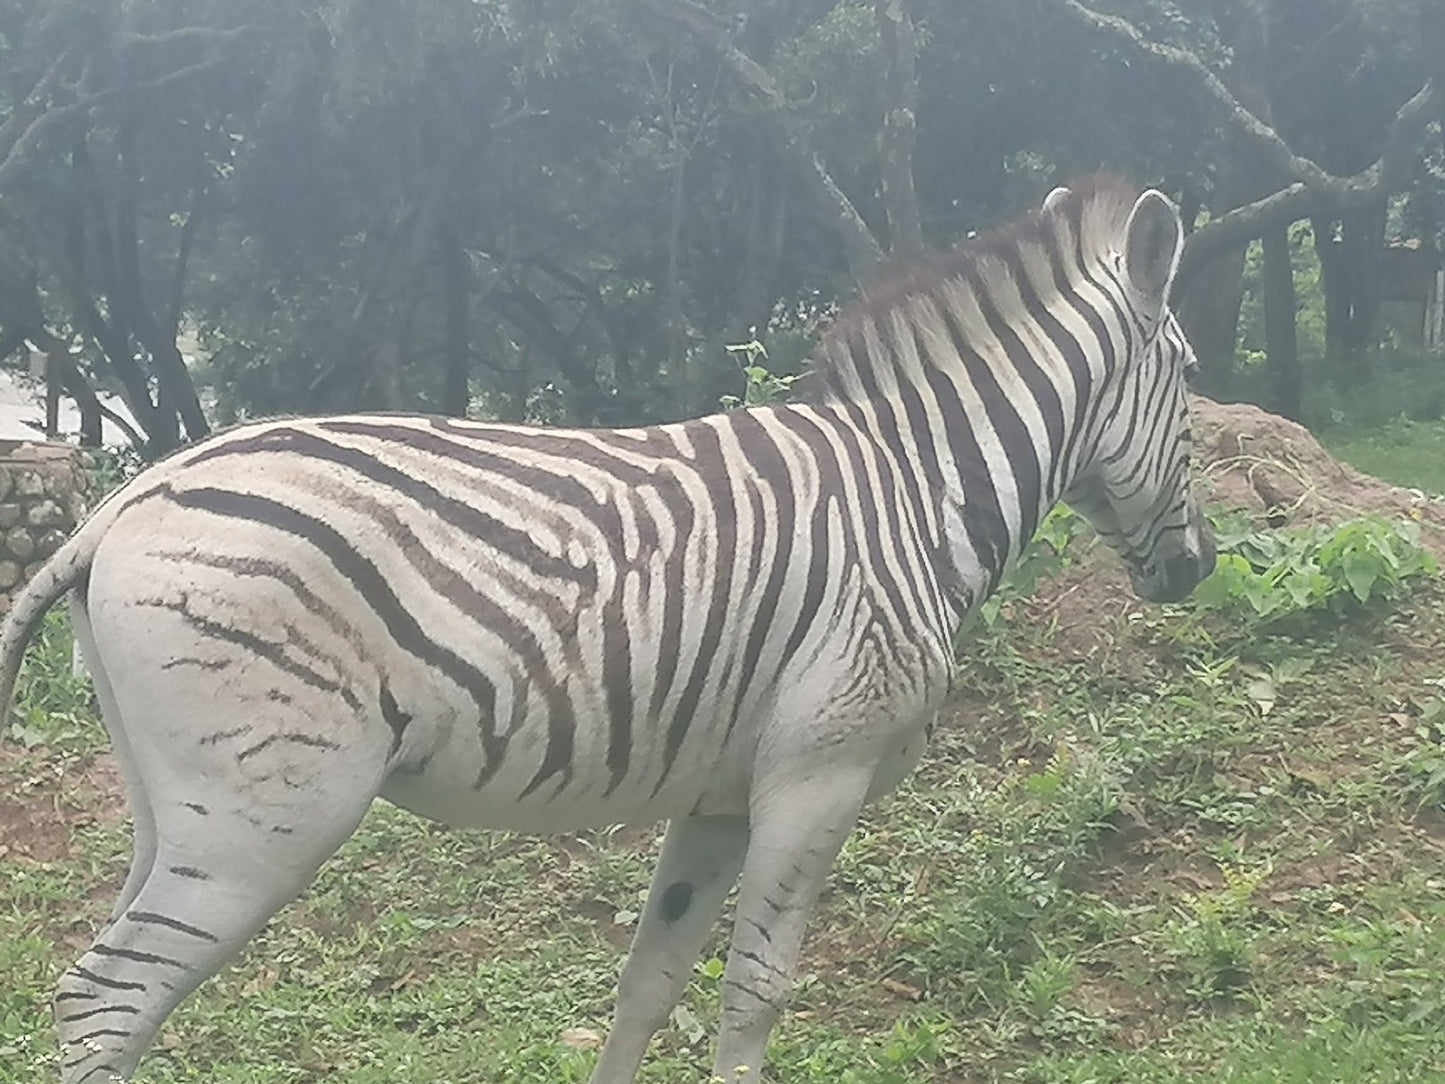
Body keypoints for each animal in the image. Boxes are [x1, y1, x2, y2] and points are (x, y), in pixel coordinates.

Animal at [0, 178, 1213, 1084]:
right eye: (1193, 378)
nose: (1198, 569)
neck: (917, 492)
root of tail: (125, 500)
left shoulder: (720, 798)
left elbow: (650, 982)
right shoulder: (819, 771)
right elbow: (755, 989)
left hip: (179, 803)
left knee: (99, 995)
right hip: (272, 810)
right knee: (108, 999)